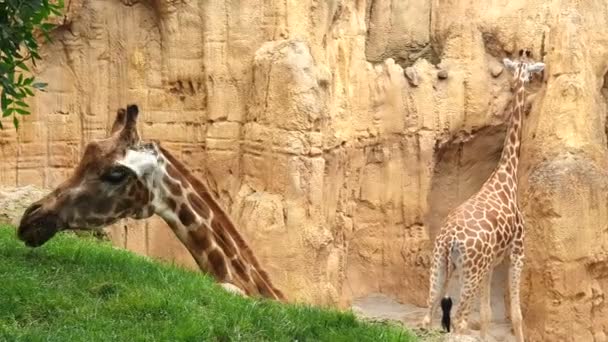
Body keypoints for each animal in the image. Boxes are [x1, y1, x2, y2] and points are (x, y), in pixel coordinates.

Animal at [422, 48, 548, 342]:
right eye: (530, 72)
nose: (538, 76)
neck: (506, 176)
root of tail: (450, 239)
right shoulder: (517, 250)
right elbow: (516, 314)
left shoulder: (492, 261)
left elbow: (488, 314)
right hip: (471, 269)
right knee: (458, 320)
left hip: (441, 264)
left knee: (428, 315)